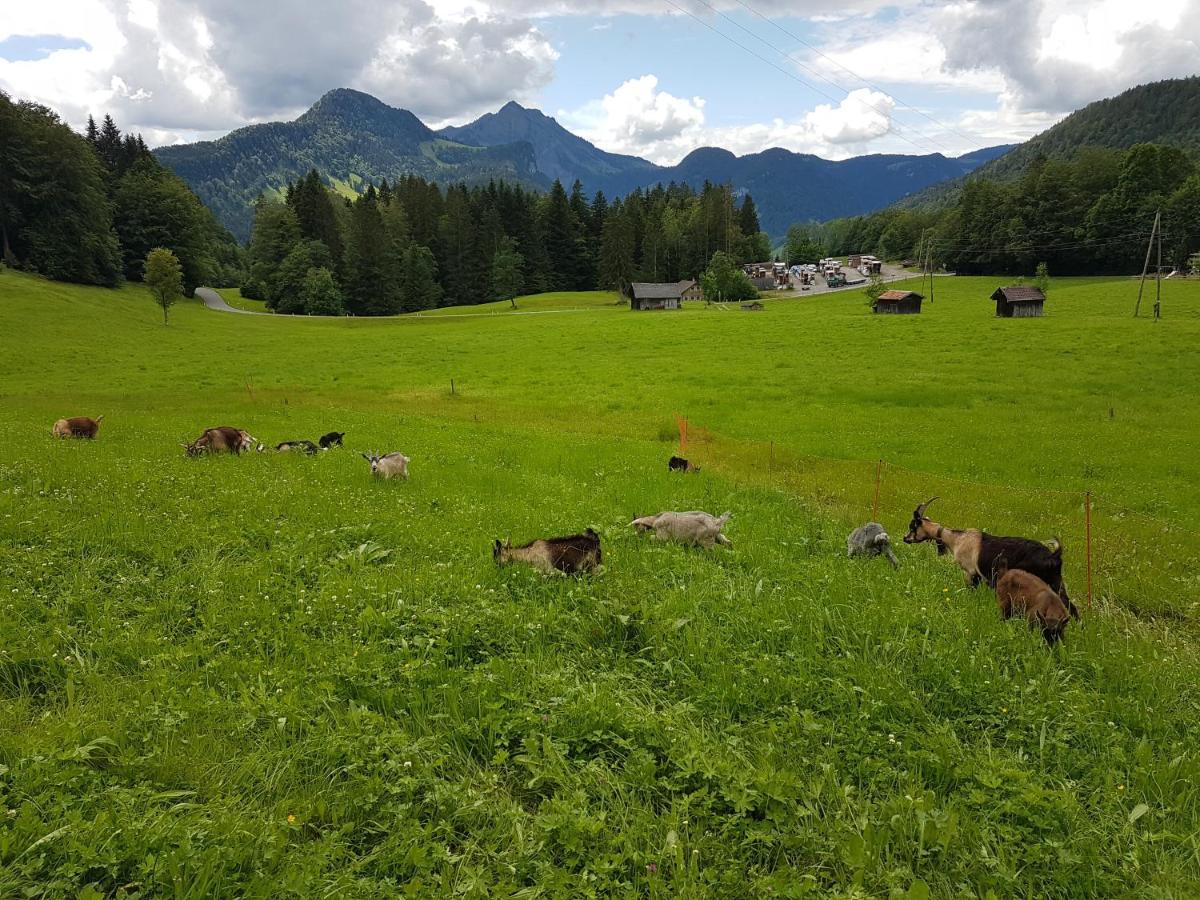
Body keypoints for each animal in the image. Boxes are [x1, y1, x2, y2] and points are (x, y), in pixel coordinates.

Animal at [902, 496, 1084, 624]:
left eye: (912, 526)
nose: (905, 538)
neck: (957, 539)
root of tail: (1054, 555)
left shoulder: (970, 572)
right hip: (1057, 581)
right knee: (1071, 607)